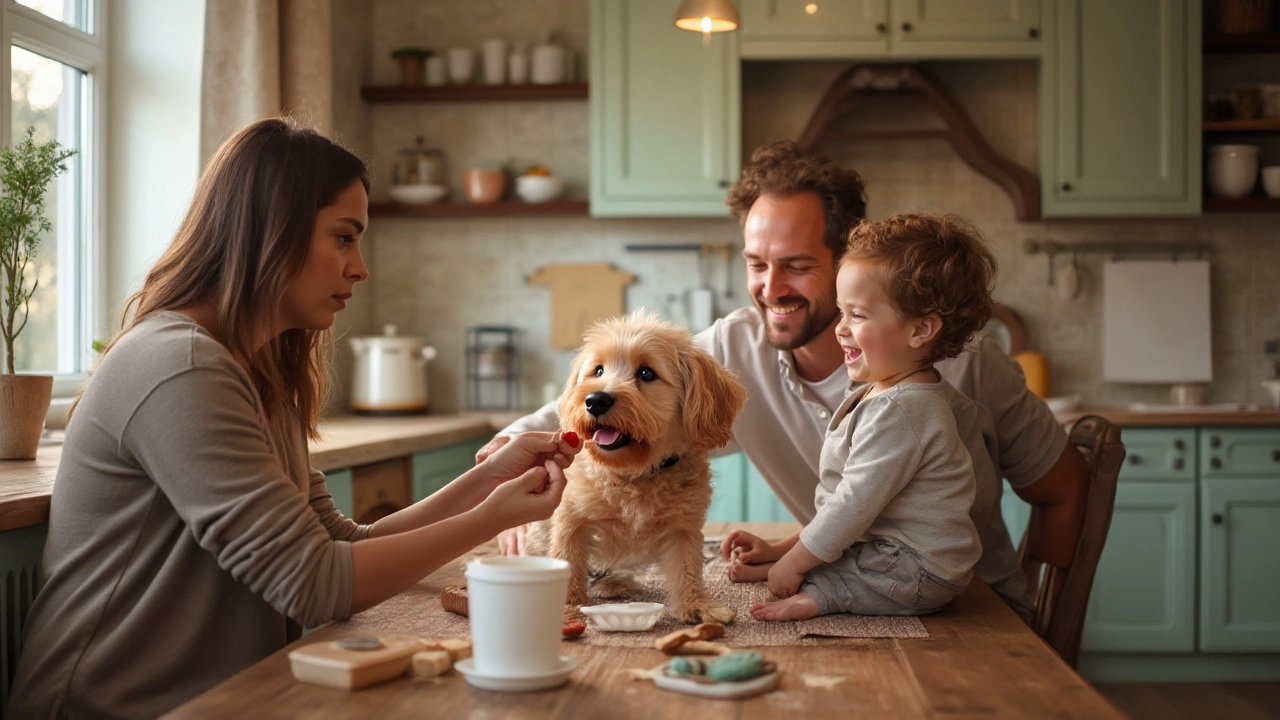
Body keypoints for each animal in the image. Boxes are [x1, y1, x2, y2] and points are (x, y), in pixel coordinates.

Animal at [542, 311, 747, 620]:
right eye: (598, 371)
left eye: (646, 373)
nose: (595, 400)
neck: (634, 474)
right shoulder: (570, 518)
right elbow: (567, 559)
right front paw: (566, 604)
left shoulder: (683, 528)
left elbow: (687, 568)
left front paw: (696, 604)